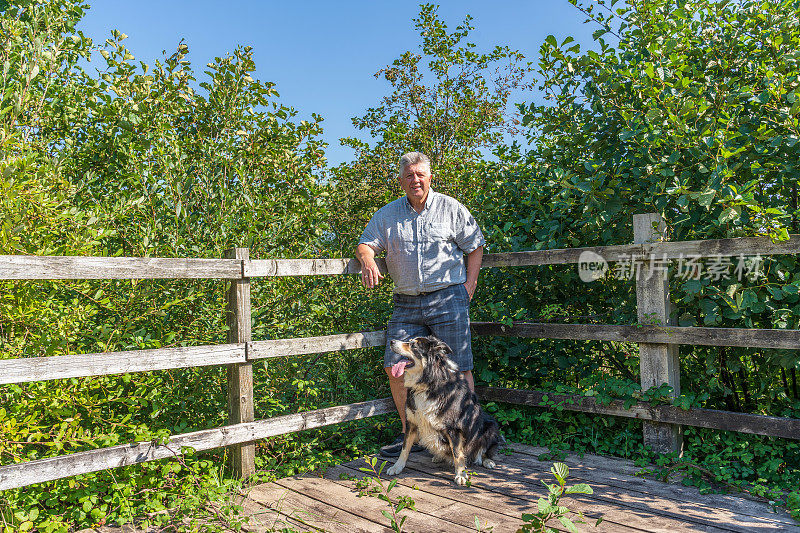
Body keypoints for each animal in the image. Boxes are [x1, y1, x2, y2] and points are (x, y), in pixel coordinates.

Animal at [384, 334, 504, 484]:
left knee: (486, 451)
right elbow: (405, 448)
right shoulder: (411, 422)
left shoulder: (454, 428)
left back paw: (487, 461)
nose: (391, 341)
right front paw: (397, 467)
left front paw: (461, 475)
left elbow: (458, 454)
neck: (428, 382)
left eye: (413, 345)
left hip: (490, 426)